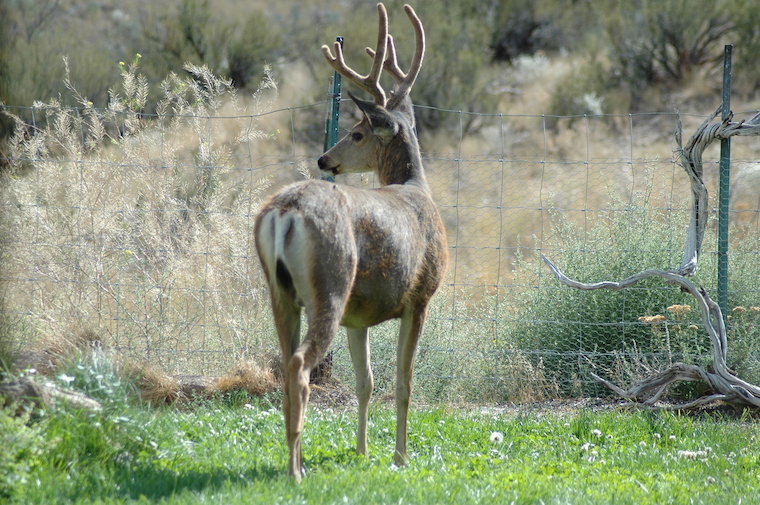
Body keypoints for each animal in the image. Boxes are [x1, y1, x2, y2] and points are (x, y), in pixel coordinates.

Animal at [253, 3, 447, 482]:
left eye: (358, 133)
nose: (324, 159)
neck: (416, 188)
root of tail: (285, 211)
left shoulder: (359, 318)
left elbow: (366, 383)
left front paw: (361, 452)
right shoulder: (421, 296)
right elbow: (403, 381)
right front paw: (400, 457)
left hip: (281, 293)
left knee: (286, 363)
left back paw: (295, 459)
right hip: (331, 282)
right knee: (300, 367)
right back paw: (295, 471)